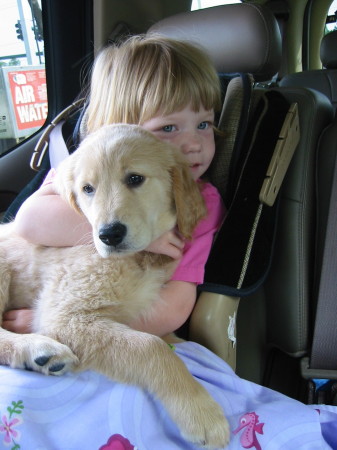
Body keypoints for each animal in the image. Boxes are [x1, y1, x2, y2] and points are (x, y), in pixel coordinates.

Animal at [0, 124, 228, 450]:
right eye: (87, 189)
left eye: (135, 178)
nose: (109, 234)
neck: (141, 258)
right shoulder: (66, 316)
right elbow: (152, 346)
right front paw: (201, 412)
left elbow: (166, 337)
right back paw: (38, 350)